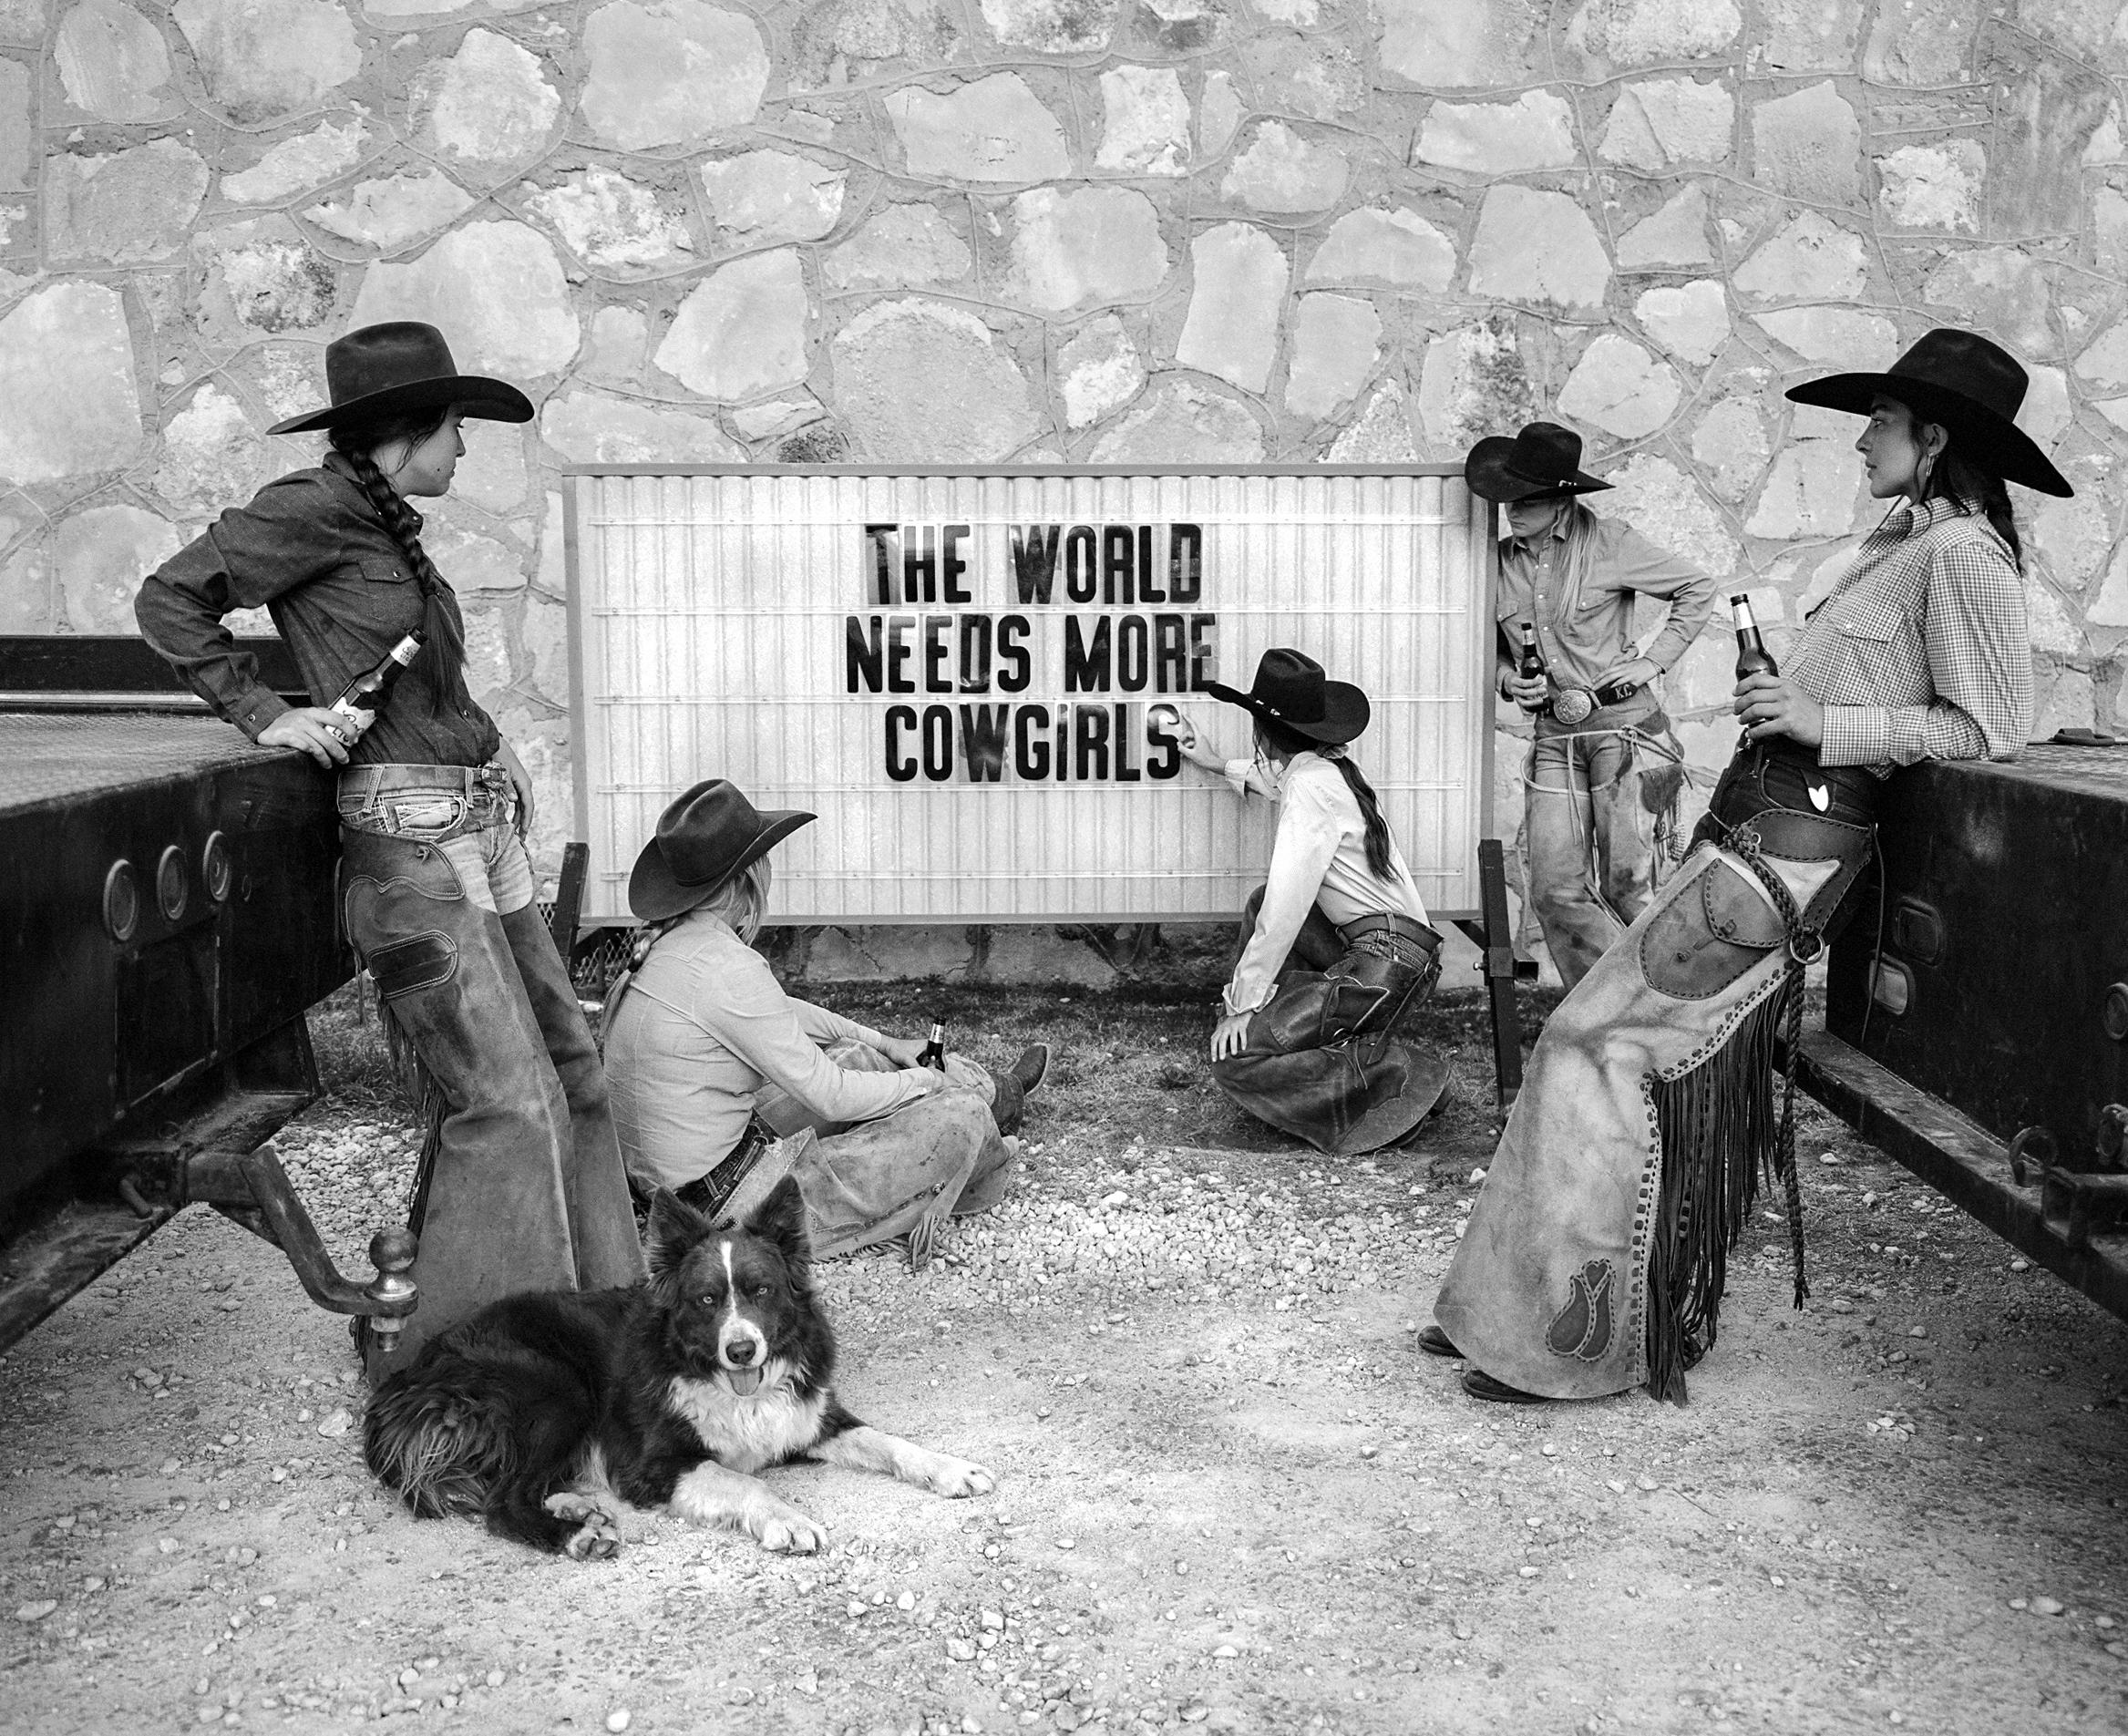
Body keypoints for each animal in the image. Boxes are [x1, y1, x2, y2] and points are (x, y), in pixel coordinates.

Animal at [365, 1174, 995, 1548]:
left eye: (761, 1291)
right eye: (707, 1300)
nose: (741, 1350)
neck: (724, 1383)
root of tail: (411, 1377)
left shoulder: (808, 1415)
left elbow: (886, 1441)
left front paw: (951, 1468)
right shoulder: (654, 1465)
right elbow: (740, 1481)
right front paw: (789, 1519)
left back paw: (577, 1508)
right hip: (558, 1387)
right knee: (502, 1501)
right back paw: (574, 1534)